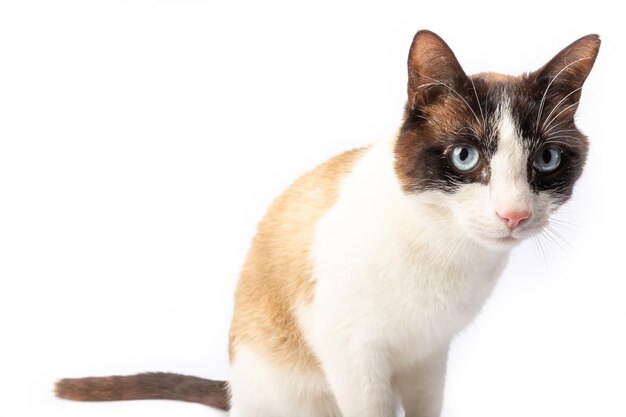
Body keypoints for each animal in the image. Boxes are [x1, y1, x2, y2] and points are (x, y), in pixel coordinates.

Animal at [56, 30, 596, 416]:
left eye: (546, 160)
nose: (513, 214)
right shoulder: (354, 355)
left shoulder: (428, 355)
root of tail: (234, 387)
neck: (448, 250)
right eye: (465, 157)